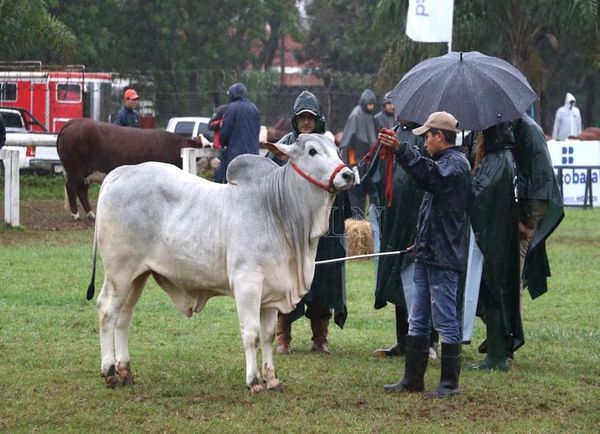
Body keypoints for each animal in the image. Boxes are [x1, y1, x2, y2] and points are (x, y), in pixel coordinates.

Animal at [59, 118, 203, 220]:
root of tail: (74, 122)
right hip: (75, 169)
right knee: (71, 187)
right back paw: (76, 214)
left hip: (84, 172)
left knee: (82, 190)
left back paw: (91, 214)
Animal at [86, 133, 354, 394]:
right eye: (312, 151)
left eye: (336, 149)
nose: (348, 174)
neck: (276, 210)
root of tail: (119, 173)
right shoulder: (247, 284)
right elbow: (252, 335)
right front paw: (253, 381)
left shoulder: (271, 291)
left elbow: (268, 335)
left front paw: (272, 379)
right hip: (119, 273)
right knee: (107, 311)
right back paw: (110, 372)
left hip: (138, 276)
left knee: (124, 316)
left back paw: (125, 371)